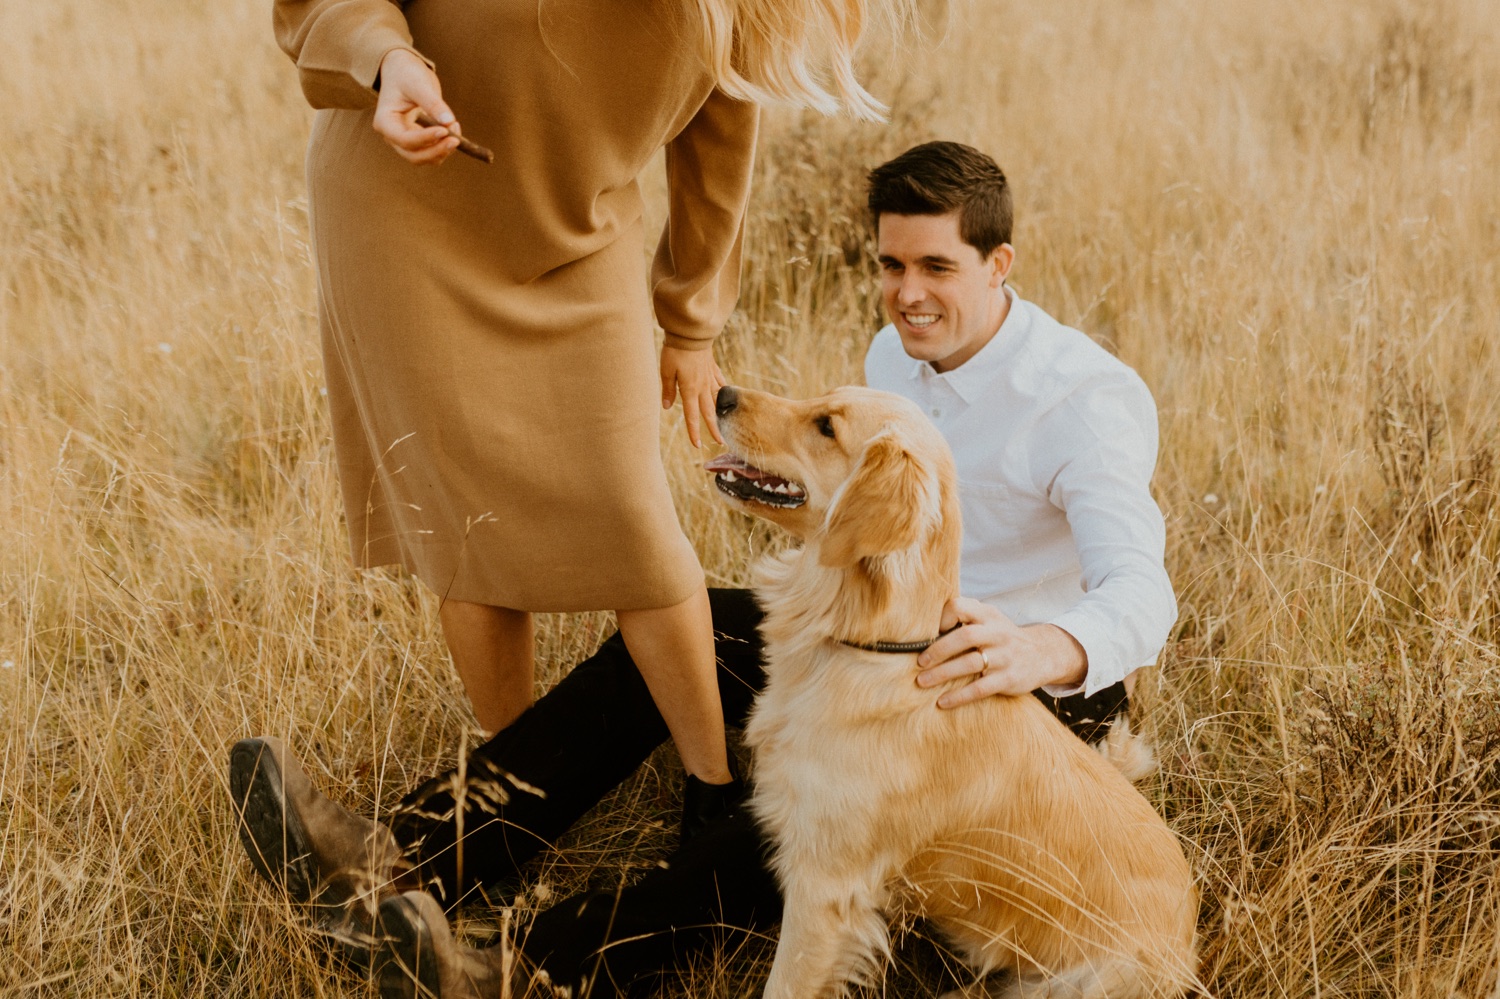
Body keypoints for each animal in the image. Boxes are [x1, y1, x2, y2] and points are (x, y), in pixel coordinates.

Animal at [708, 382, 1200, 996]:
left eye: (826, 427)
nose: (722, 393)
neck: (870, 647)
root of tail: (1189, 940)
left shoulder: (824, 886)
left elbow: (784, 984)